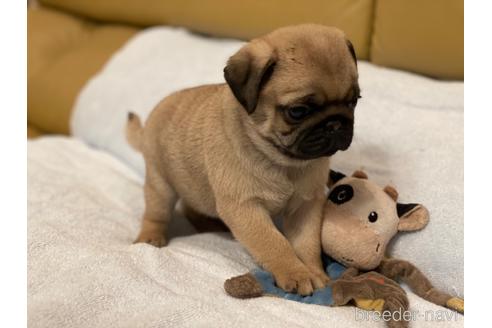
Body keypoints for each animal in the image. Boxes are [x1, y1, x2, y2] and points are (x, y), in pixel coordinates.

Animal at [126, 23, 358, 294]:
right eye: (298, 111)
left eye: (353, 102)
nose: (335, 124)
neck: (283, 162)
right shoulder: (245, 208)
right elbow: (274, 243)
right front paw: (295, 273)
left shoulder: (306, 205)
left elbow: (306, 244)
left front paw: (314, 272)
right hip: (160, 183)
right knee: (157, 213)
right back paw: (150, 237)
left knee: (191, 205)